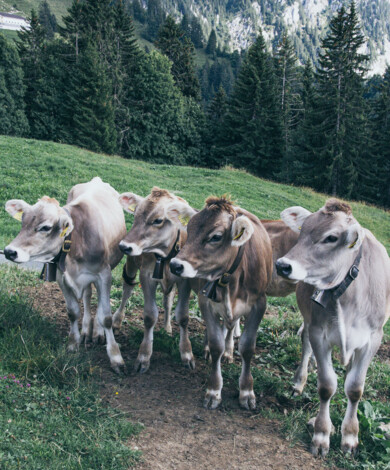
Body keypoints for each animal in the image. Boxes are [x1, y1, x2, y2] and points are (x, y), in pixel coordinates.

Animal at [3, 177, 136, 374]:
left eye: (45, 227)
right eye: (23, 222)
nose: (9, 251)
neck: (76, 241)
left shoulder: (103, 274)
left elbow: (106, 317)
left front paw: (116, 357)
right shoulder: (62, 277)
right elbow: (73, 312)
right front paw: (73, 345)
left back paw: (96, 332)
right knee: (87, 295)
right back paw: (86, 330)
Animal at [114, 185, 197, 372]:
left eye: (158, 220)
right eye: (135, 215)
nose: (124, 246)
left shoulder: (184, 281)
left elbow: (183, 316)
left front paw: (186, 353)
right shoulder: (146, 276)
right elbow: (150, 316)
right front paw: (144, 356)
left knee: (167, 300)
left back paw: (167, 328)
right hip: (131, 264)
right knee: (127, 289)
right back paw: (116, 321)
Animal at [169, 196, 272, 410]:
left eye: (215, 237)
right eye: (189, 229)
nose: (175, 265)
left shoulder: (259, 304)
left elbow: (247, 348)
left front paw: (246, 391)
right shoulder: (205, 301)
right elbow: (216, 343)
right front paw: (214, 390)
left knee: (231, 325)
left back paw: (229, 352)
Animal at [274, 198, 390, 456]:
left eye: (331, 237)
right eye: (303, 231)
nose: (282, 265)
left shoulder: (373, 339)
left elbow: (355, 388)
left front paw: (350, 437)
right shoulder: (319, 333)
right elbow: (326, 386)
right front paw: (321, 435)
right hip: (309, 322)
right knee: (305, 344)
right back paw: (299, 383)